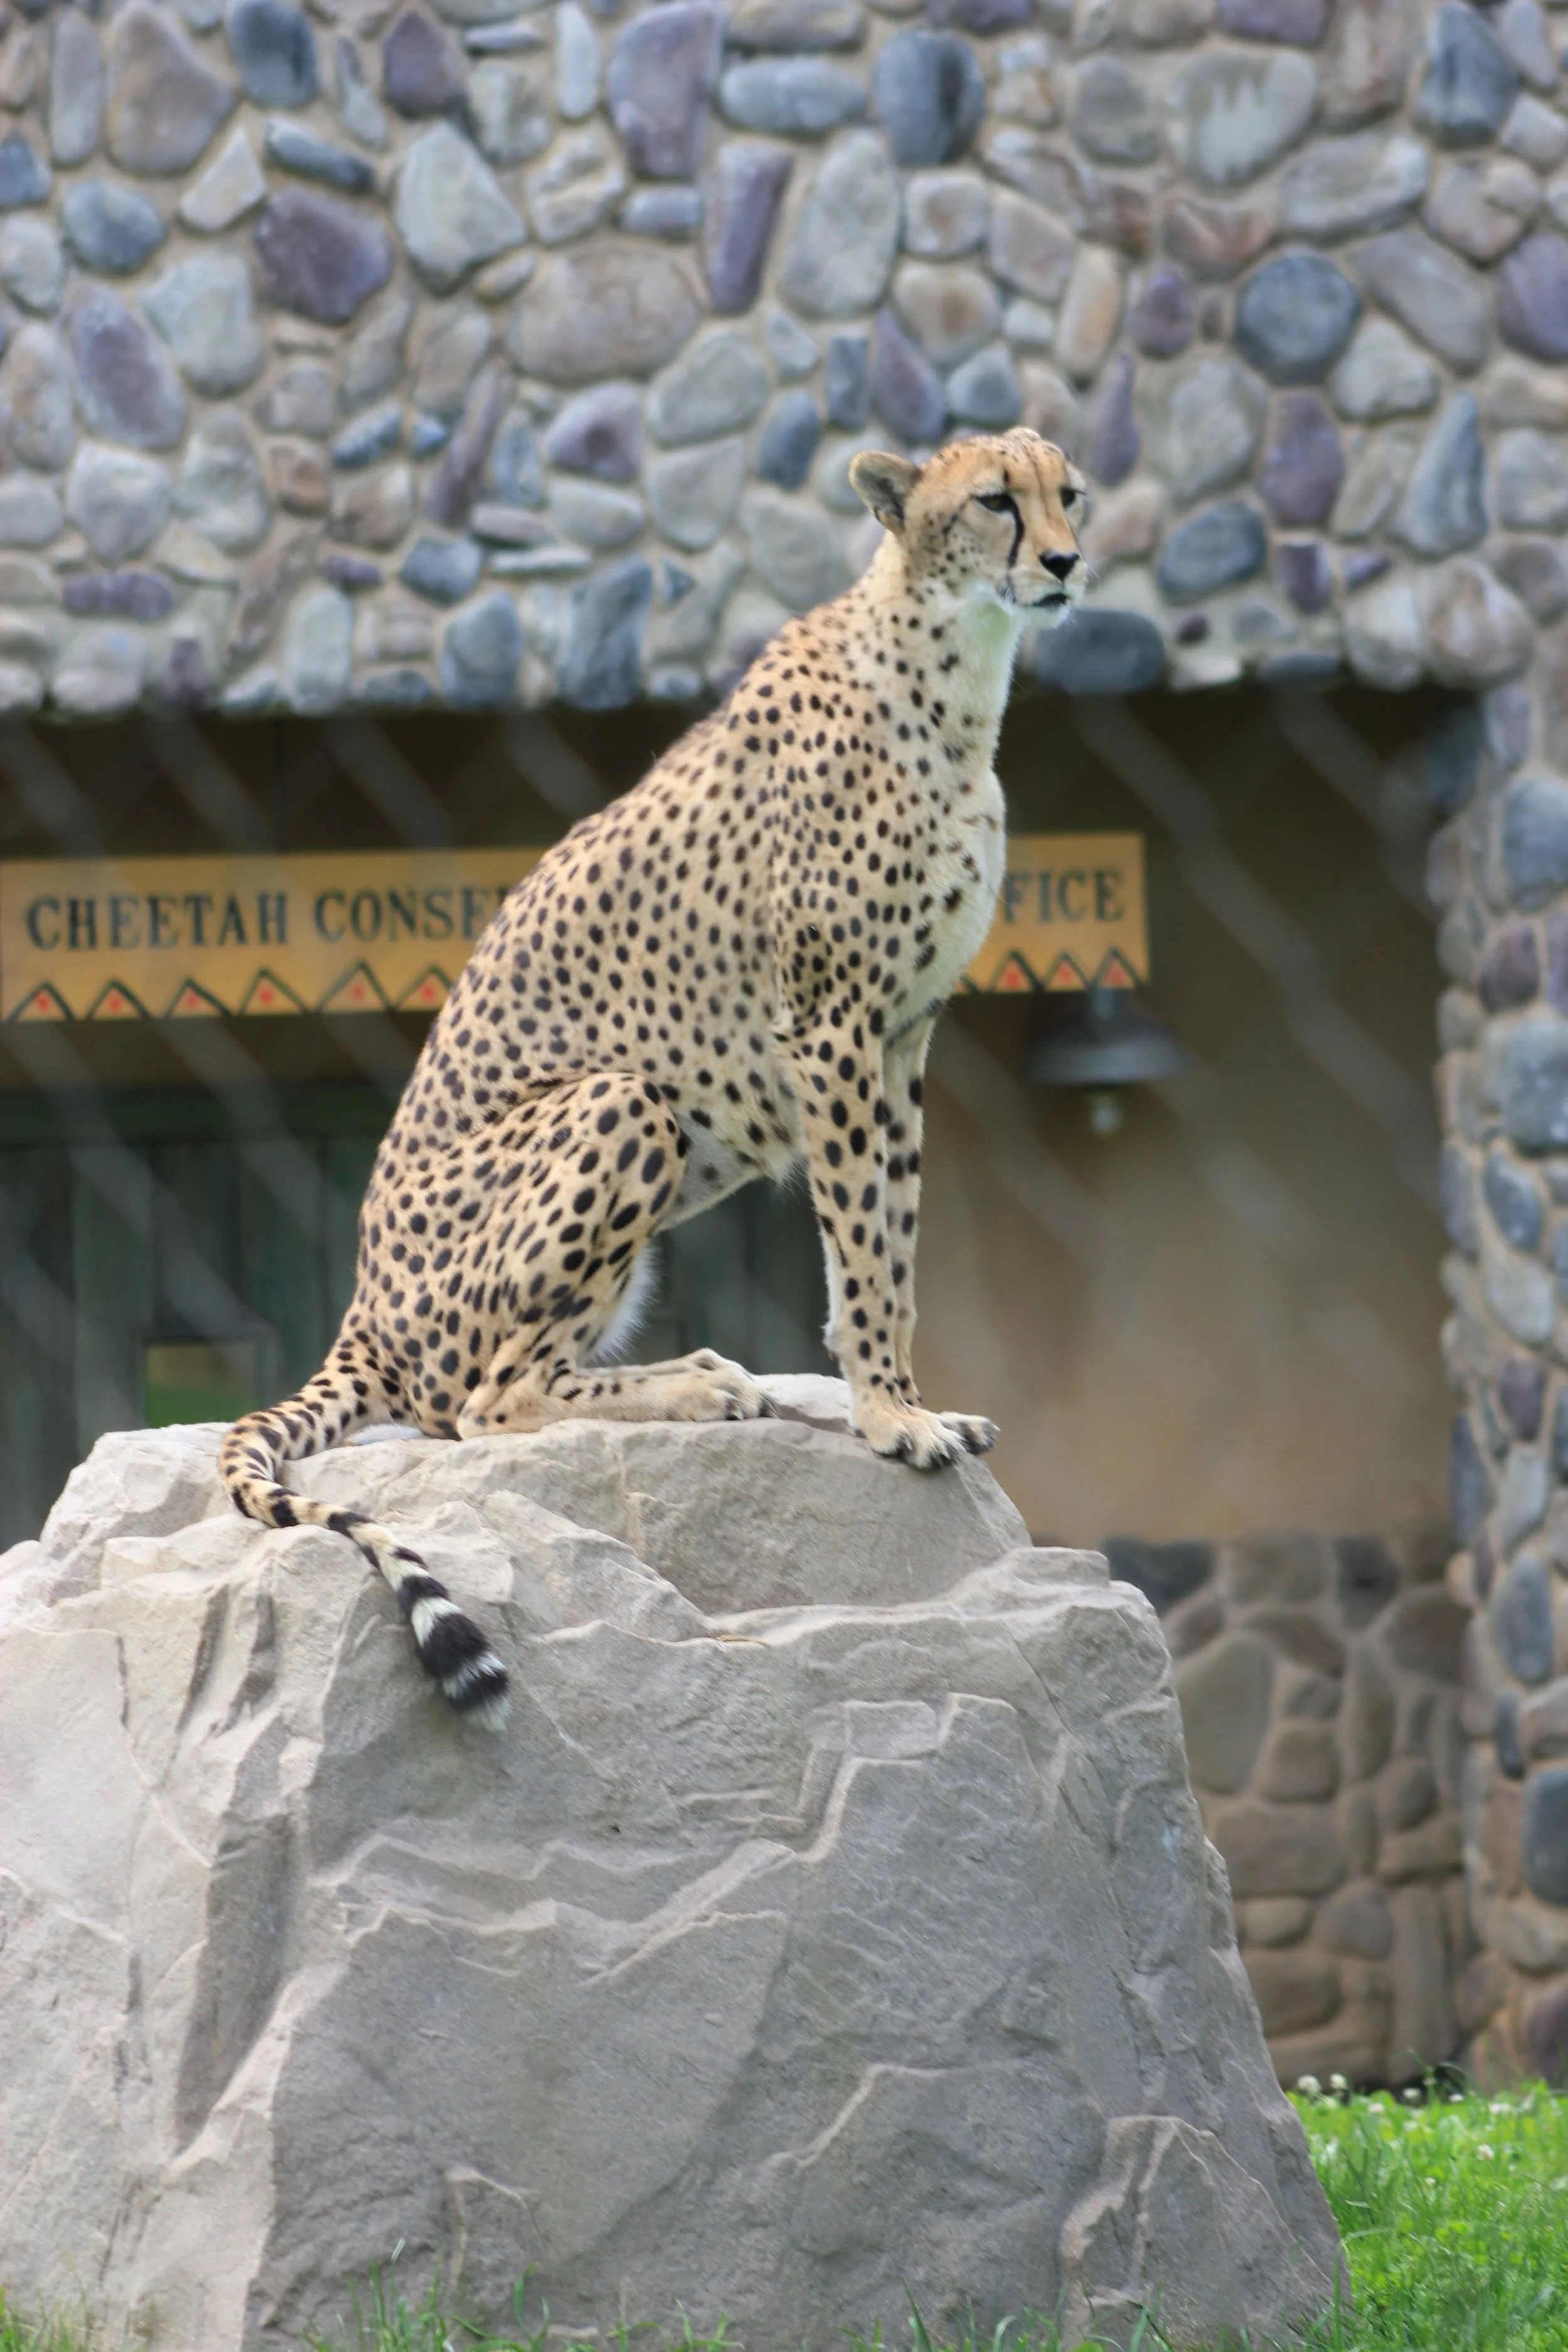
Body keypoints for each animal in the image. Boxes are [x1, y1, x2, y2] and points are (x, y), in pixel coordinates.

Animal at [218, 426, 1088, 1727]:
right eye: (994, 501)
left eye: (1068, 493)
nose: (1069, 562)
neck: (953, 667)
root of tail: (361, 1310)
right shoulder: (832, 1024)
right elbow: (864, 1245)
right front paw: (891, 1417)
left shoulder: (905, 1033)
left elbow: (891, 1238)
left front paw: (907, 1400)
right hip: (624, 1102)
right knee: (481, 1403)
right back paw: (693, 1389)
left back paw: (712, 1374)